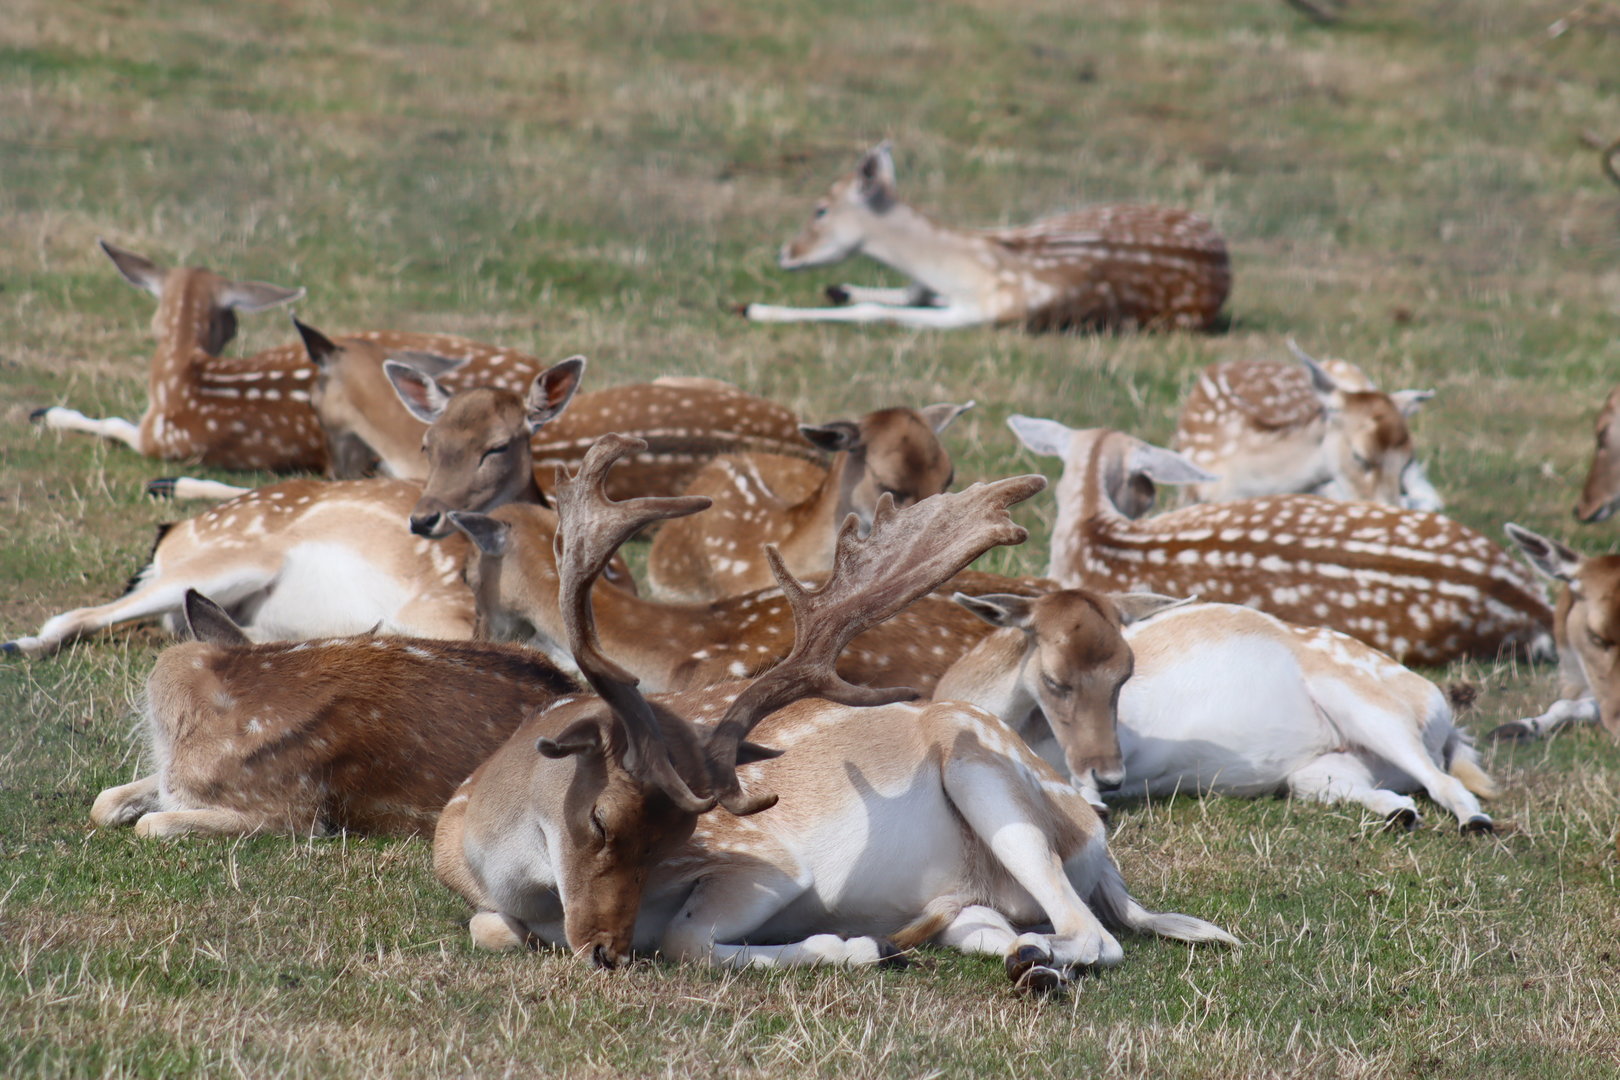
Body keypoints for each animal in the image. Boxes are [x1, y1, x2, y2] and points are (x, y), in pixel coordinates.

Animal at [2, 360, 593, 659]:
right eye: (427, 445)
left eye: (498, 446)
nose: (424, 518)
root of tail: (171, 540)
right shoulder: (432, 609)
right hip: (229, 559)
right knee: (78, 615)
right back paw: (17, 643)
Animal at [743, 143, 1230, 332]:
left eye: (820, 209)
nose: (785, 254)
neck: (976, 271)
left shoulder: (985, 316)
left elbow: (878, 313)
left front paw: (756, 309)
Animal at [936, 592, 1497, 834]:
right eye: (1055, 680)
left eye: (1126, 674)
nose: (1110, 775)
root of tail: (1436, 707)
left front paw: (1095, 801)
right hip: (1322, 769)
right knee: (1379, 789)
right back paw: (1400, 814)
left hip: (1373, 712)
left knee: (1446, 782)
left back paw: (1475, 822)